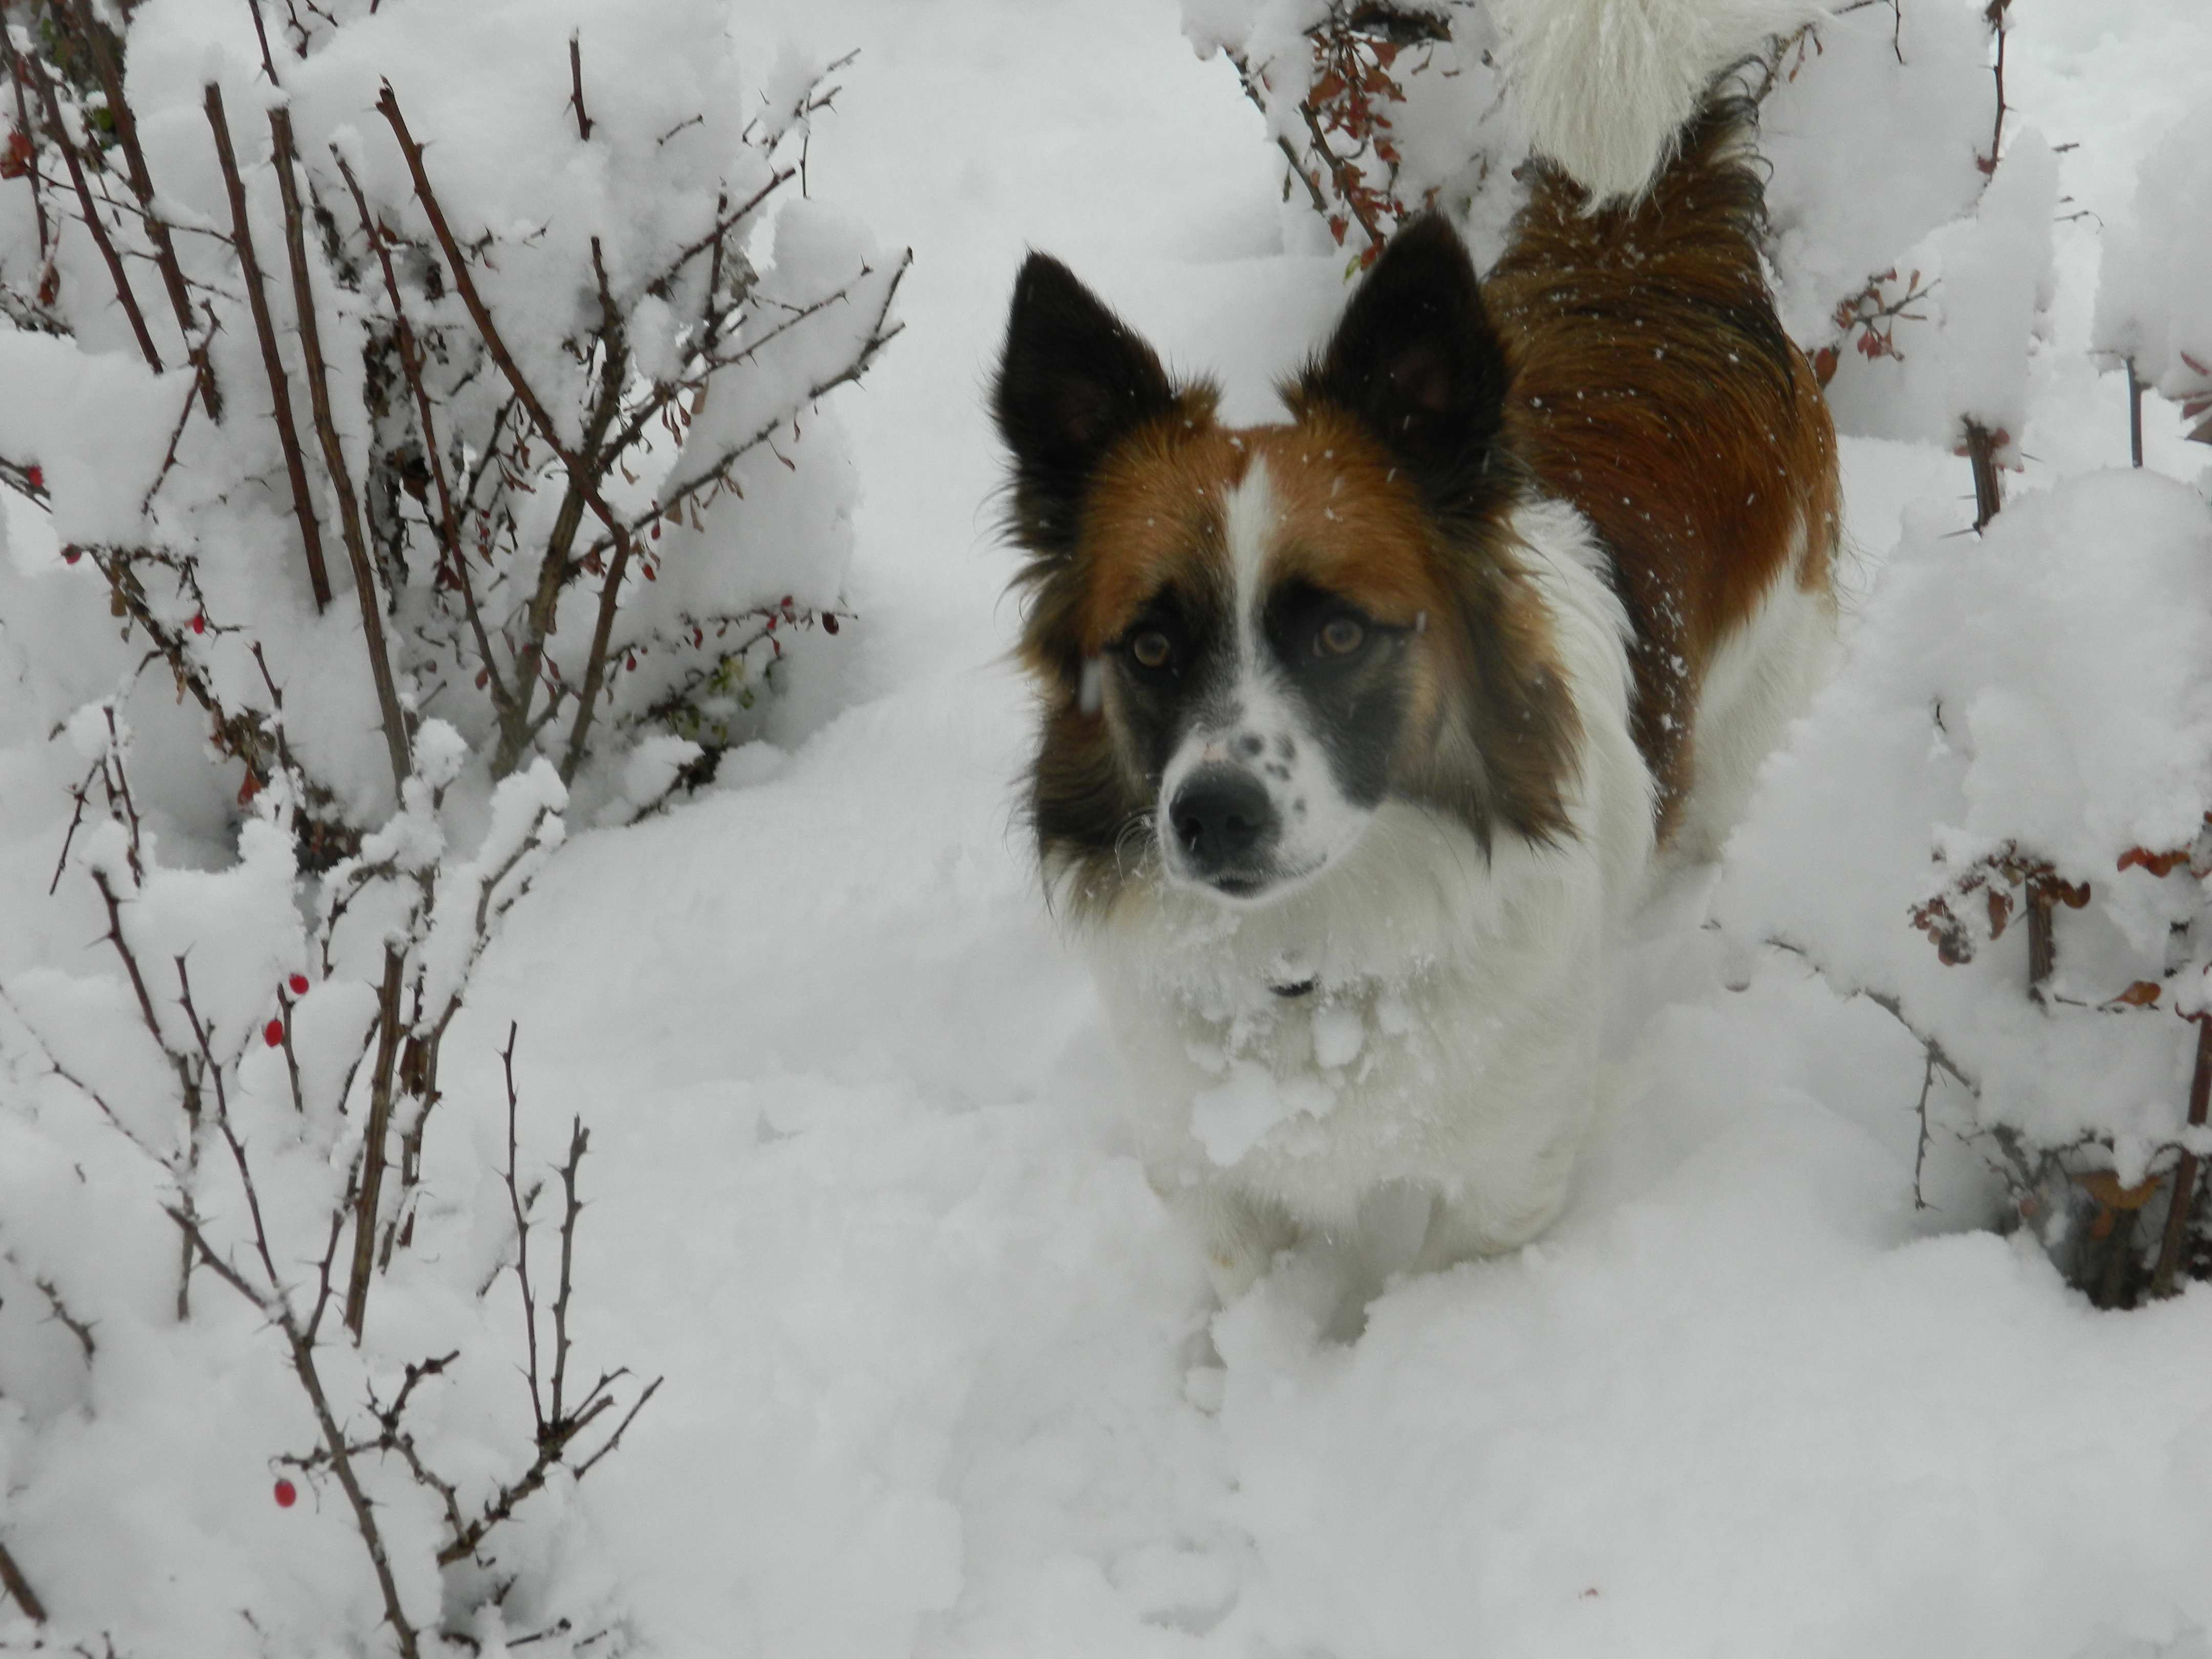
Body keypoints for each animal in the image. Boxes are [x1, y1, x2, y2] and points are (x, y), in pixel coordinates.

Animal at [992, 0, 1839, 1324]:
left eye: (1340, 632)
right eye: (1151, 644)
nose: (1211, 816)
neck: (1313, 961)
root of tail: (1645, 253)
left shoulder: (1503, 1176)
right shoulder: (1209, 1165)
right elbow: (1247, 1293)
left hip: (1753, 706)